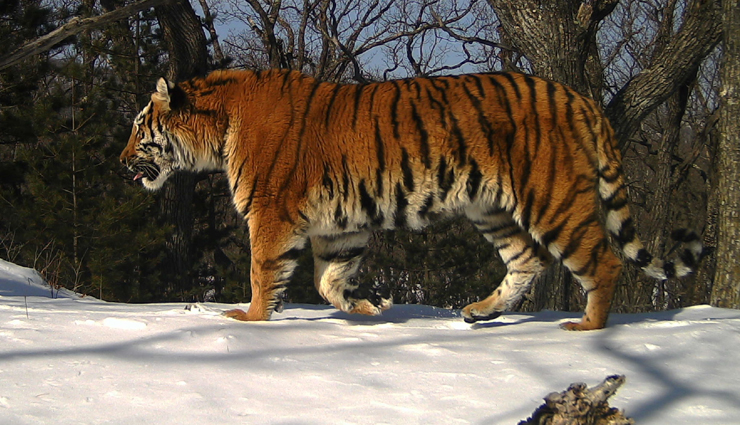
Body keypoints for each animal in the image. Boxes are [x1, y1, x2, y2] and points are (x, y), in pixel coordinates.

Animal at [120, 69, 704, 330]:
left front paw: (248, 320)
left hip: (553, 198)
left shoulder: (270, 213)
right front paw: (368, 308)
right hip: (492, 209)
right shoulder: (339, 224)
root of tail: (579, 96)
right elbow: (327, 280)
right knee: (528, 260)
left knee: (603, 261)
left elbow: (265, 273)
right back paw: (480, 313)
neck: (216, 129)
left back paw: (587, 327)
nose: (123, 161)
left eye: (139, 128)